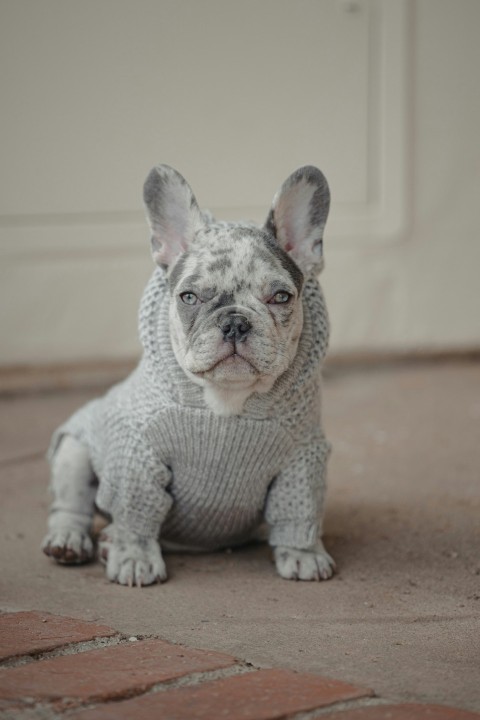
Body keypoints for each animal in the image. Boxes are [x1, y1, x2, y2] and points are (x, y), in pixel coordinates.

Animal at [43, 166, 336, 588]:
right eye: (189, 297)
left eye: (280, 297)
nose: (235, 322)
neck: (226, 401)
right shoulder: (138, 456)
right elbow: (134, 511)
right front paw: (134, 555)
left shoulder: (302, 458)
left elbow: (300, 508)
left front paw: (304, 552)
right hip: (74, 452)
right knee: (72, 505)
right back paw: (72, 540)